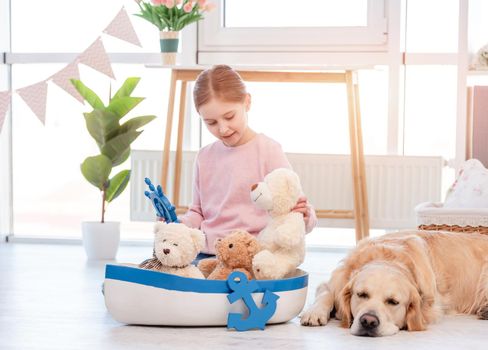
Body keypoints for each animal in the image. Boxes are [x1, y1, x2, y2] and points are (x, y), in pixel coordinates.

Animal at [302, 230, 488, 336]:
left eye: (393, 302)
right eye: (361, 294)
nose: (368, 321)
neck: (387, 258)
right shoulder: (336, 281)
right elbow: (326, 293)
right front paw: (314, 313)